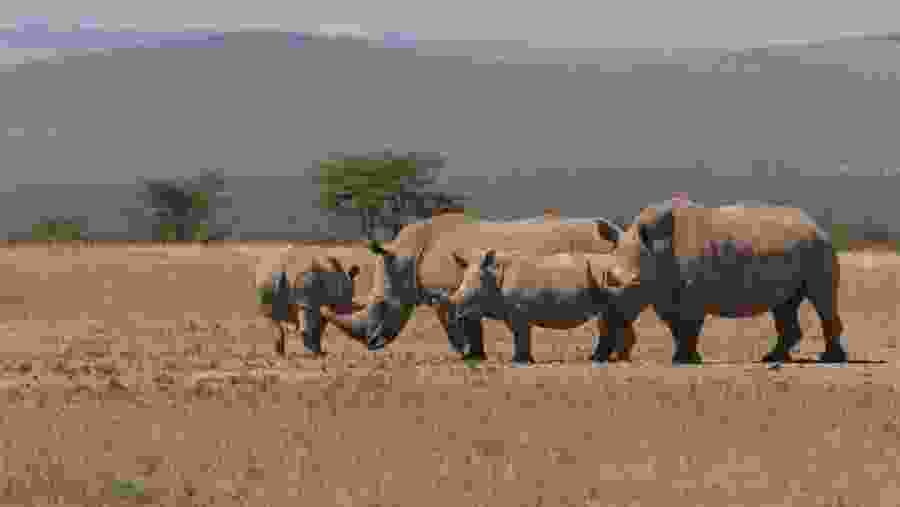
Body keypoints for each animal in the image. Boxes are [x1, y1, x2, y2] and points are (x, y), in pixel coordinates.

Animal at [445, 248, 647, 366]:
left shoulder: (518, 311)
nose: (457, 315)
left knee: (613, 316)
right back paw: (606, 359)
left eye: (469, 298)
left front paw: (519, 362)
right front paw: (524, 360)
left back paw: (607, 360)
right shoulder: (512, 311)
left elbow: (520, 334)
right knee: (612, 318)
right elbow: (520, 335)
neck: (492, 275)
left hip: (619, 281)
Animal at [616, 196, 848, 364]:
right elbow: (676, 327)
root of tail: (817, 225)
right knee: (785, 305)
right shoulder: (662, 290)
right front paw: (680, 358)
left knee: (821, 298)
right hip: (802, 248)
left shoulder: (692, 294)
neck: (654, 247)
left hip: (819, 248)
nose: (615, 315)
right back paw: (772, 358)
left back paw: (830, 360)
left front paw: (684, 361)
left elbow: (689, 325)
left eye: (632, 284)